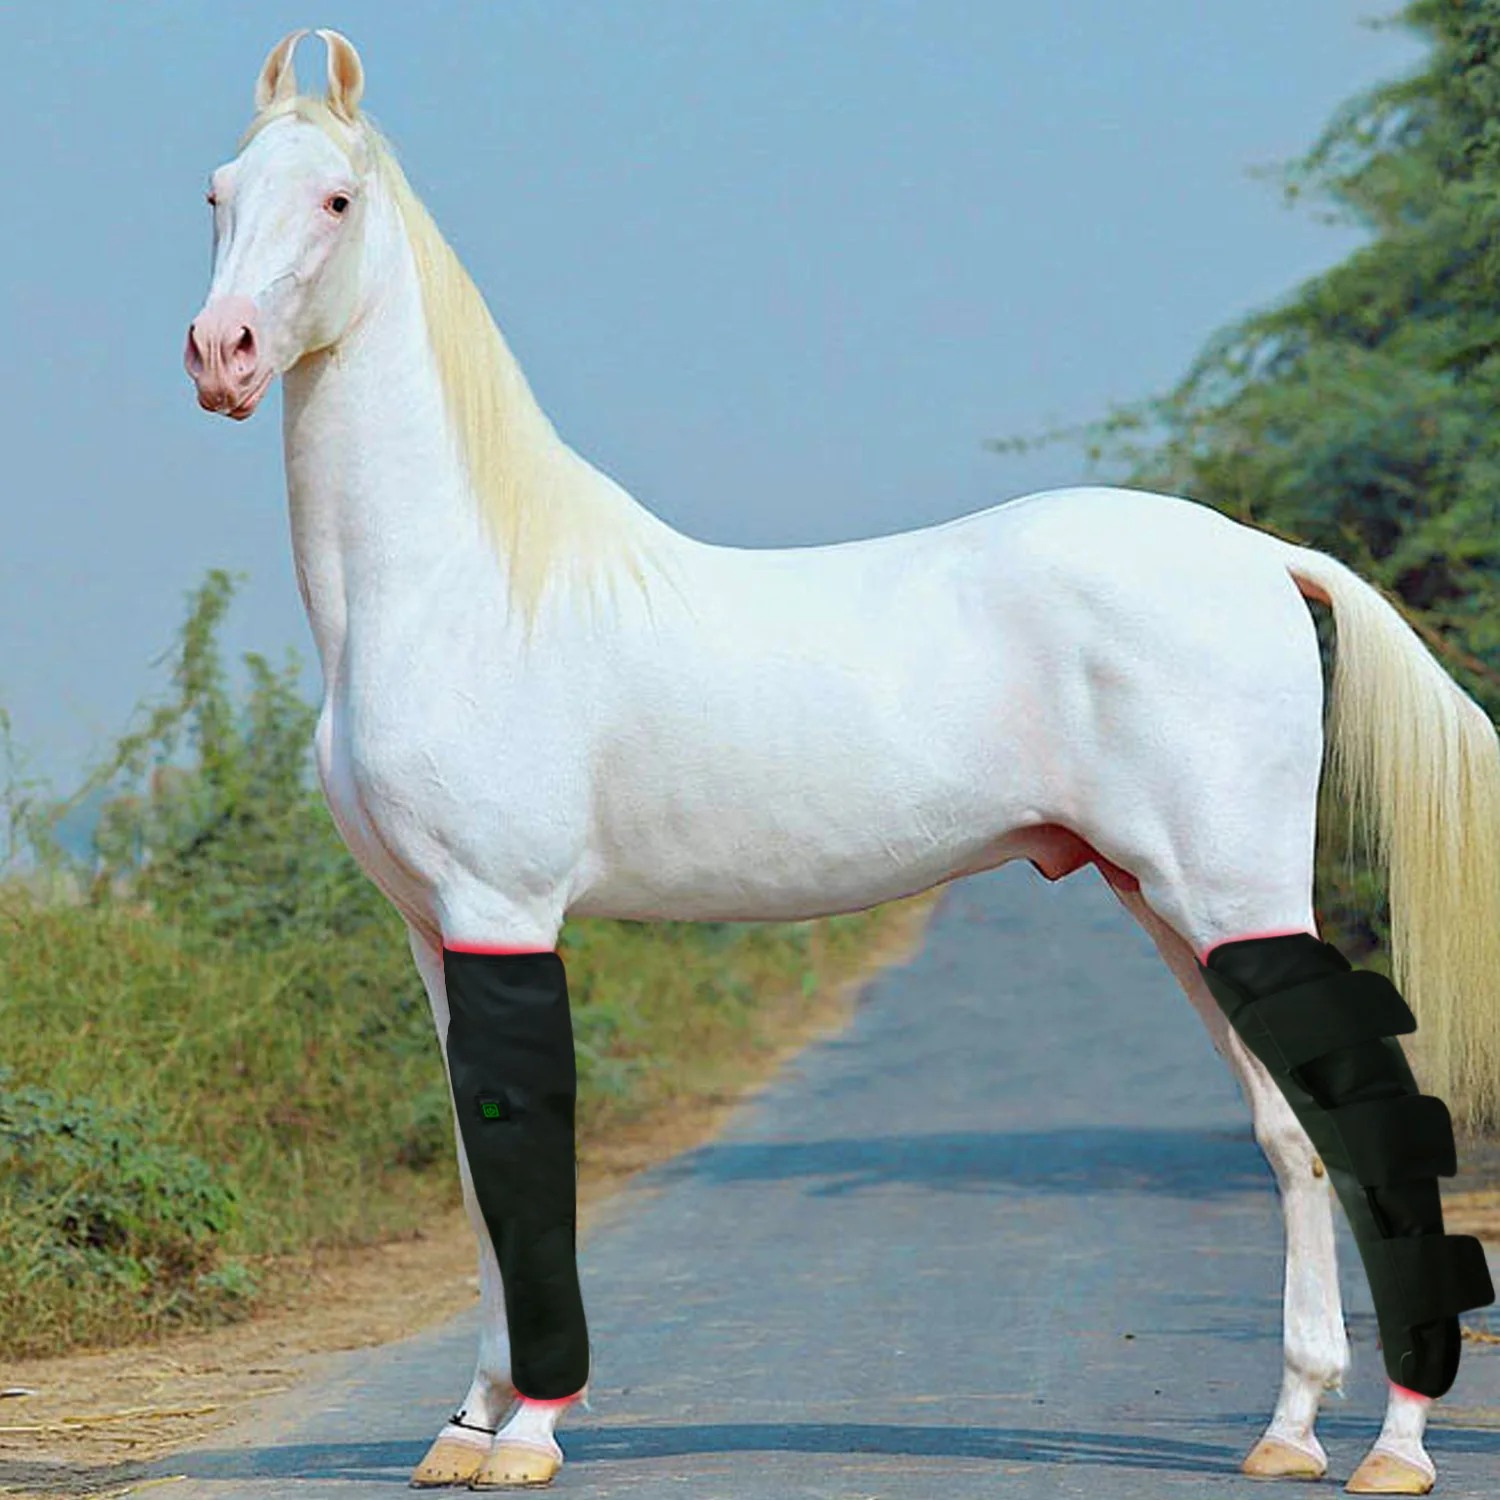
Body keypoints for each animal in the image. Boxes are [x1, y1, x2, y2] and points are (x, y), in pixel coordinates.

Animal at [185, 30, 1500, 1494]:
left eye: (336, 201)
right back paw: (1291, 1430)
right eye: (218, 194)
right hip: (1178, 904)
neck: (460, 589)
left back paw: (1396, 1447)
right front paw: (464, 1429)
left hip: (1233, 895)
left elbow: (526, 1163)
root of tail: (1261, 556)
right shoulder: (434, 930)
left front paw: (526, 1432)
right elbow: (480, 1172)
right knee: (1291, 1131)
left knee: (1357, 1118)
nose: (223, 354)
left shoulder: (503, 911)